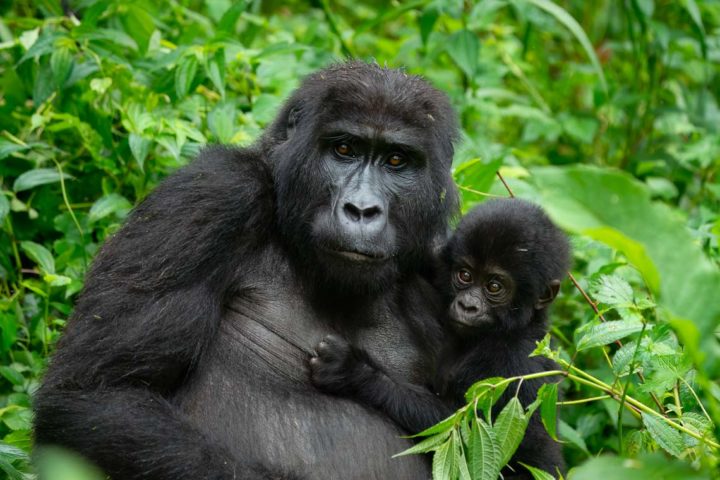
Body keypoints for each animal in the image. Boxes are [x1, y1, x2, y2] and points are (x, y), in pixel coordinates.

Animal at [312, 198, 572, 476]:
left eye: (494, 287)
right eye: (465, 275)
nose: (468, 306)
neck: (518, 326)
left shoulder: (513, 362)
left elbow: (461, 433)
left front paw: (354, 370)